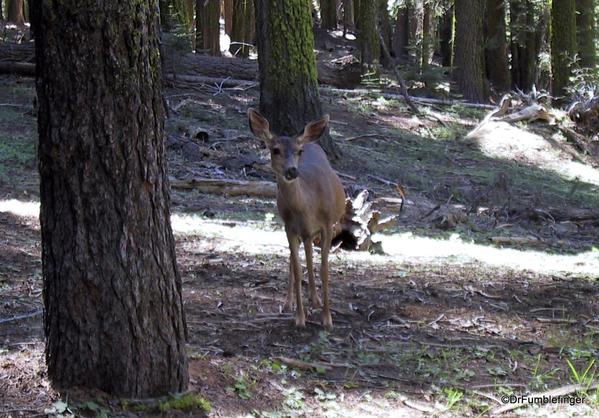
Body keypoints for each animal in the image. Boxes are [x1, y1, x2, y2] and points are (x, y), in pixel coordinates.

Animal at [246, 108, 344, 330]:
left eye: (299, 151)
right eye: (275, 150)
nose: (292, 170)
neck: (307, 207)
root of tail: (312, 142)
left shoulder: (327, 225)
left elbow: (324, 268)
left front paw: (327, 319)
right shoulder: (289, 227)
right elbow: (298, 268)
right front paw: (300, 318)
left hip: (317, 229)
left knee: (309, 256)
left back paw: (315, 299)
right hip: (296, 230)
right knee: (296, 258)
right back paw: (290, 302)